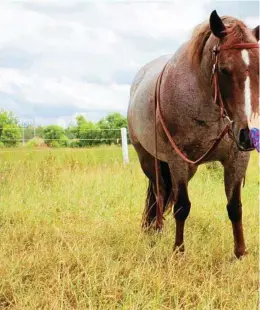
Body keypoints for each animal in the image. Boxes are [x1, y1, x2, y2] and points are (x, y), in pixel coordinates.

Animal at [127, 9, 258, 258]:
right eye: (224, 70)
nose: (250, 135)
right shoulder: (178, 159)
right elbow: (181, 206)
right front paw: (178, 251)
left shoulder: (237, 158)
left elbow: (235, 206)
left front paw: (240, 253)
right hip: (150, 160)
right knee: (159, 194)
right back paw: (155, 230)